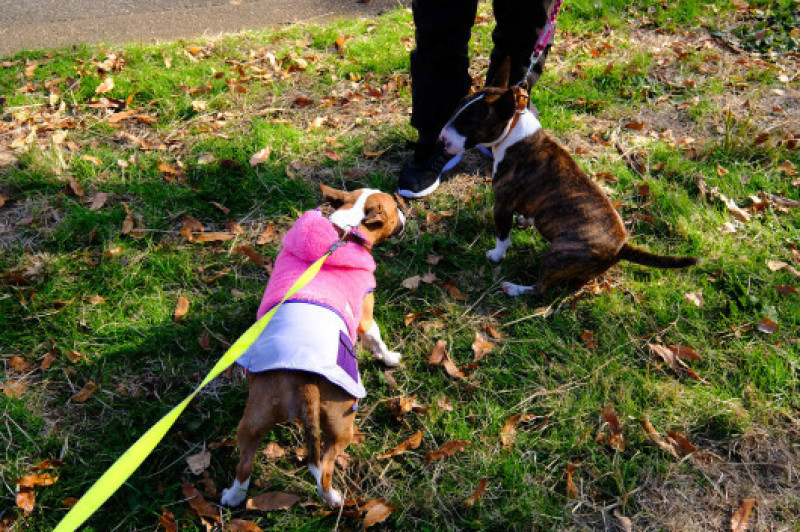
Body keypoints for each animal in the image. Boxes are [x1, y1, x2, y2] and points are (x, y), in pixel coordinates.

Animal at [220, 186, 404, 508]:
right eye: (394, 206)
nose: (405, 207)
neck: (344, 232)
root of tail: (303, 378)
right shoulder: (366, 318)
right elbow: (377, 340)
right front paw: (390, 358)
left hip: (254, 419)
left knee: (244, 465)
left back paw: (233, 496)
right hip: (341, 422)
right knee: (324, 467)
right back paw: (333, 498)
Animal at [438, 80, 692, 296]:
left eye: (470, 121)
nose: (440, 139)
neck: (514, 132)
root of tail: (621, 247)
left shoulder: (502, 204)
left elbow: (502, 235)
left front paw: (496, 255)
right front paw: (524, 220)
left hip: (557, 254)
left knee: (541, 289)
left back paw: (515, 289)